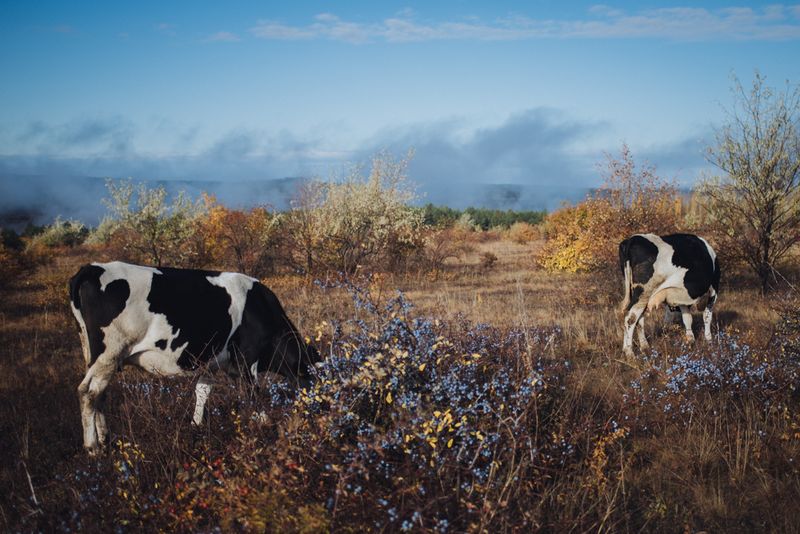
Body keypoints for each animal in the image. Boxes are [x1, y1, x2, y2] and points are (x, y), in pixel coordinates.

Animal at [69, 261, 319, 455]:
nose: (320, 409)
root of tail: (93, 267)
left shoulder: (214, 364)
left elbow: (203, 391)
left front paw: (196, 425)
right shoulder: (247, 357)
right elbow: (253, 392)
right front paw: (264, 423)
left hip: (95, 355)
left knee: (100, 394)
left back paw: (105, 439)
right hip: (109, 352)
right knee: (88, 392)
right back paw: (93, 447)